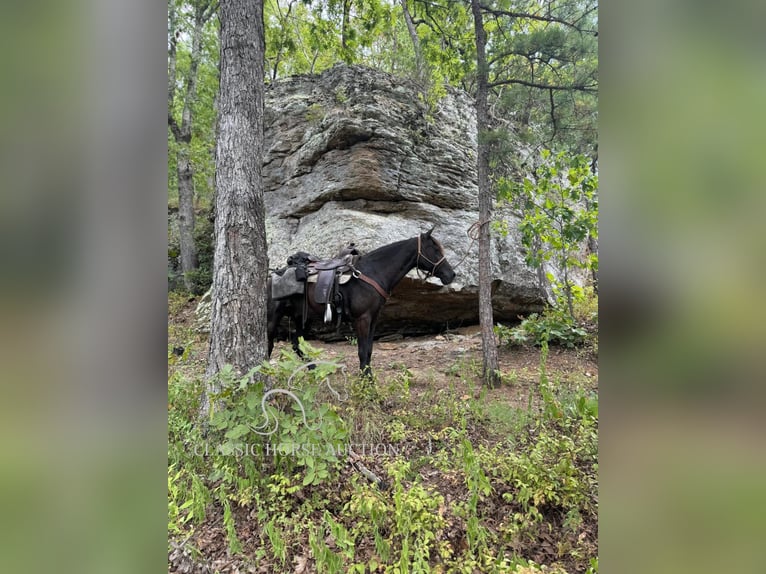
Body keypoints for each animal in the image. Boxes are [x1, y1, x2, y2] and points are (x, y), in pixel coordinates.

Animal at [268, 227, 456, 376]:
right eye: (435, 250)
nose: (451, 275)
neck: (373, 272)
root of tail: (273, 275)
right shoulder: (362, 319)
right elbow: (362, 351)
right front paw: (366, 381)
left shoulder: (373, 319)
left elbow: (369, 351)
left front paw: (368, 377)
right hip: (274, 317)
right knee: (269, 343)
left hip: (302, 317)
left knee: (296, 344)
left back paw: (314, 370)